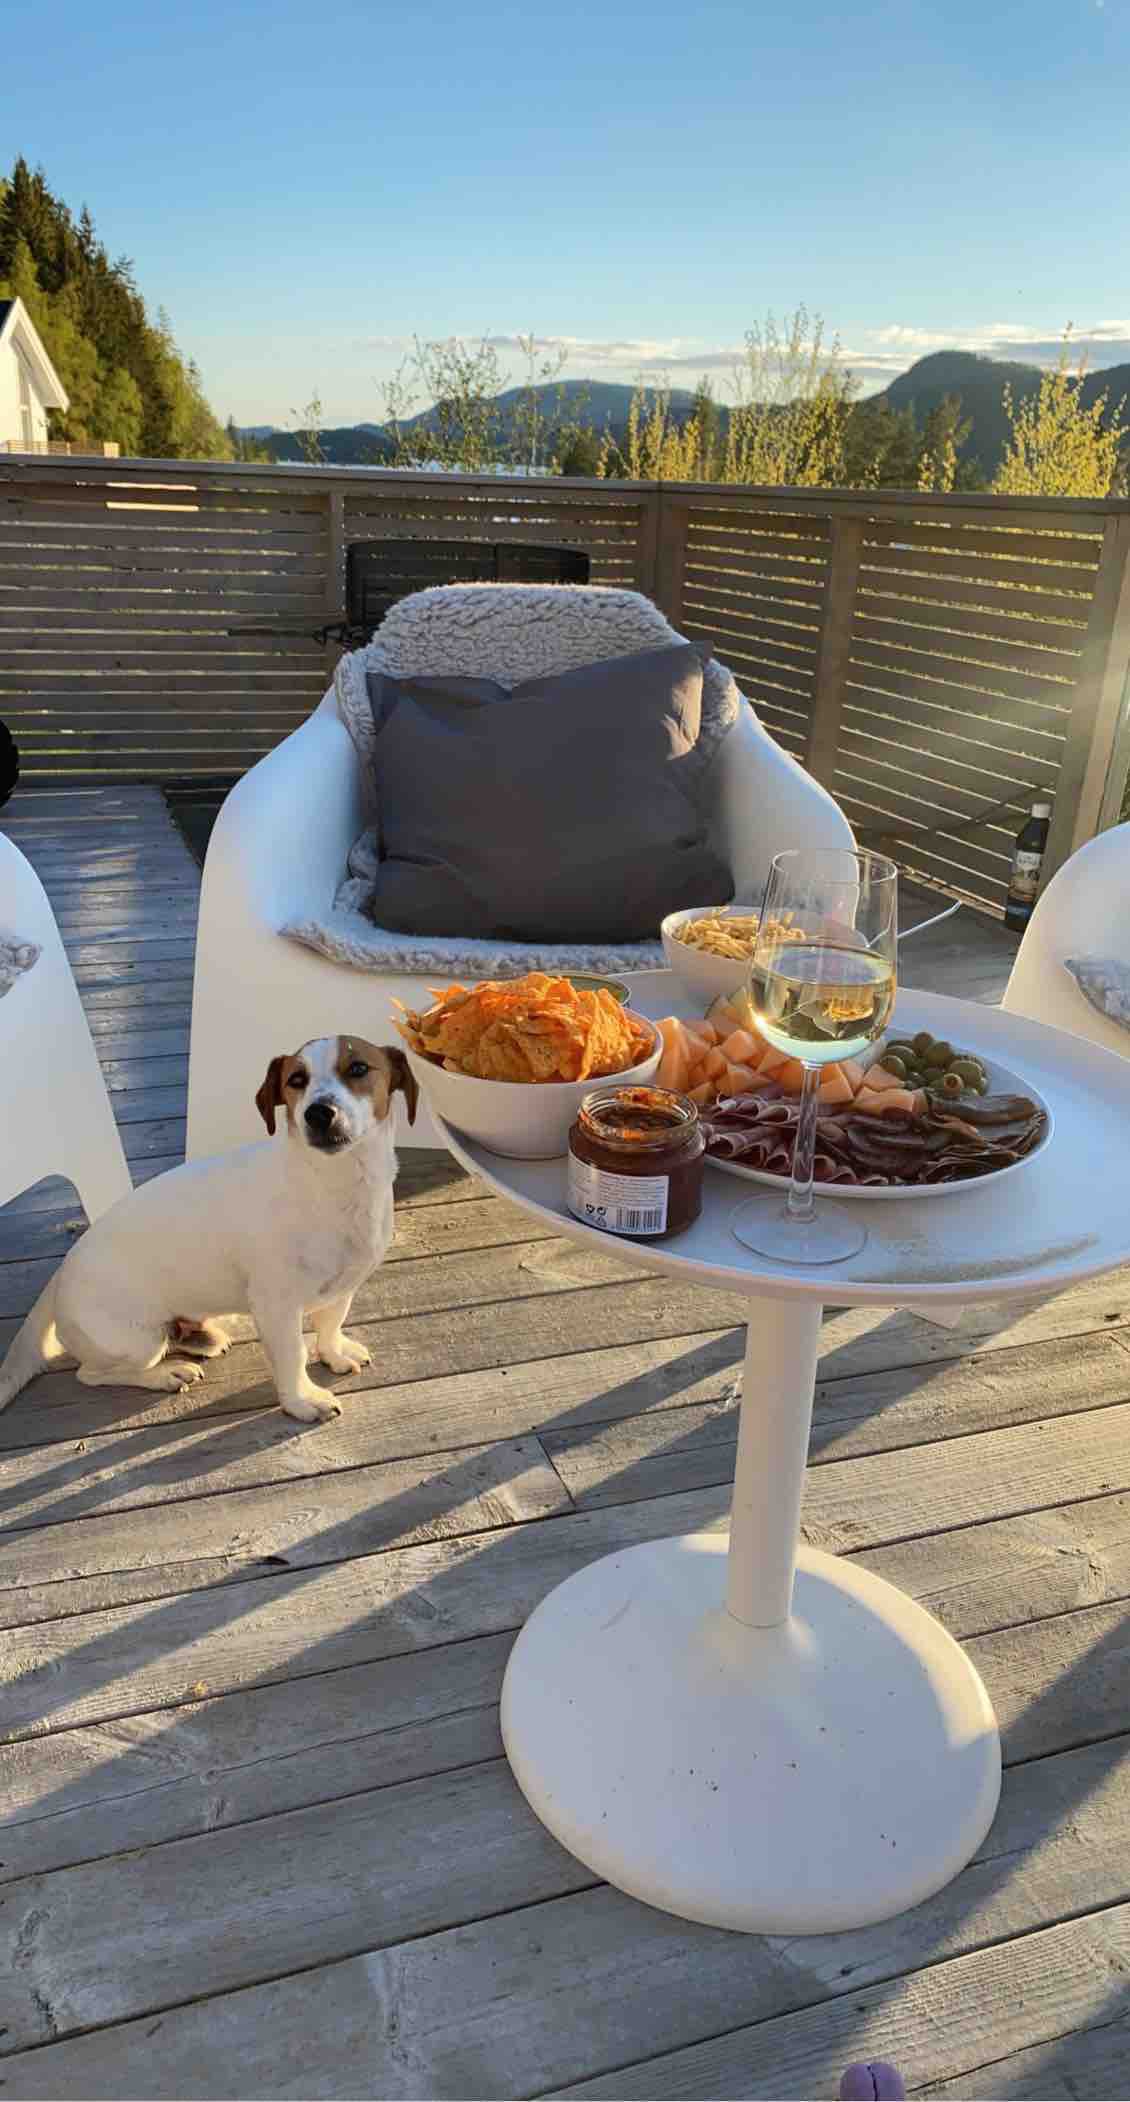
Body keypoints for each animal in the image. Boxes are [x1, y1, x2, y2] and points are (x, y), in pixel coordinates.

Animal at [0, 1038, 415, 1429]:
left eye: (358, 1068)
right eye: (296, 1080)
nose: (318, 1113)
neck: (335, 1185)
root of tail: (60, 1275)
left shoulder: (344, 1287)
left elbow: (331, 1324)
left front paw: (334, 1353)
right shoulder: (276, 1306)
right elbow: (293, 1355)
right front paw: (302, 1401)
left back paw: (201, 1338)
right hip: (137, 1341)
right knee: (92, 1374)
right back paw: (165, 1374)